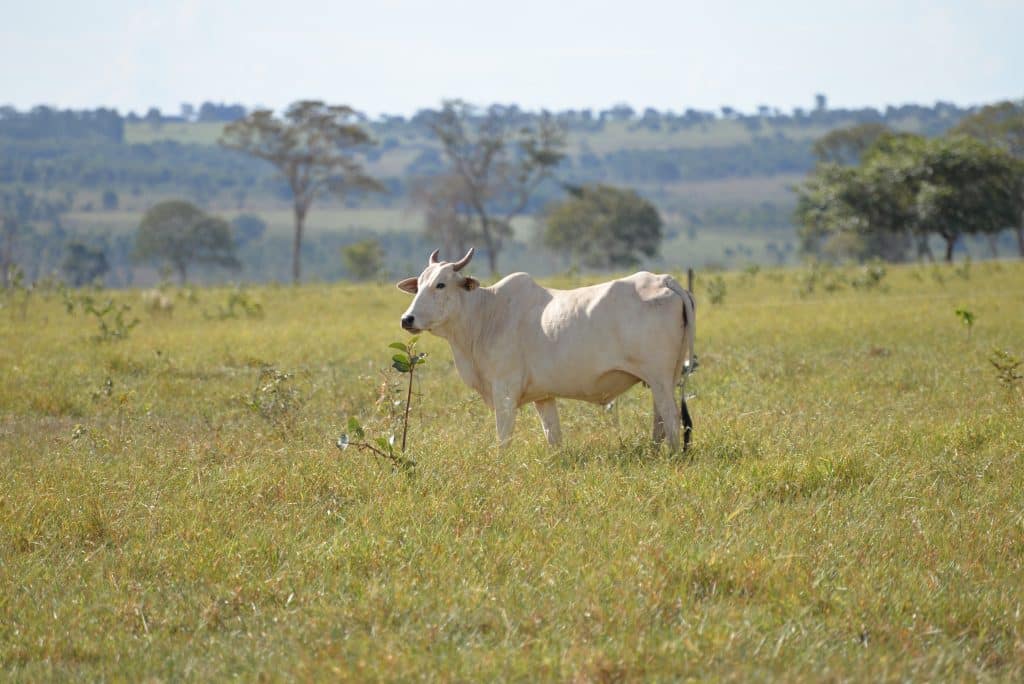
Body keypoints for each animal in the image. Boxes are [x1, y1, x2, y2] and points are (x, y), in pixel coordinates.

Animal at [396, 248, 696, 451]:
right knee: (660, 420)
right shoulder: (544, 397)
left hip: (659, 378)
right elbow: (554, 437)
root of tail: (664, 280)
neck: (485, 314)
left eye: (441, 284)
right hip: (662, 380)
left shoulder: (504, 391)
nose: (407, 319)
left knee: (671, 418)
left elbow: (503, 439)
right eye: (418, 285)